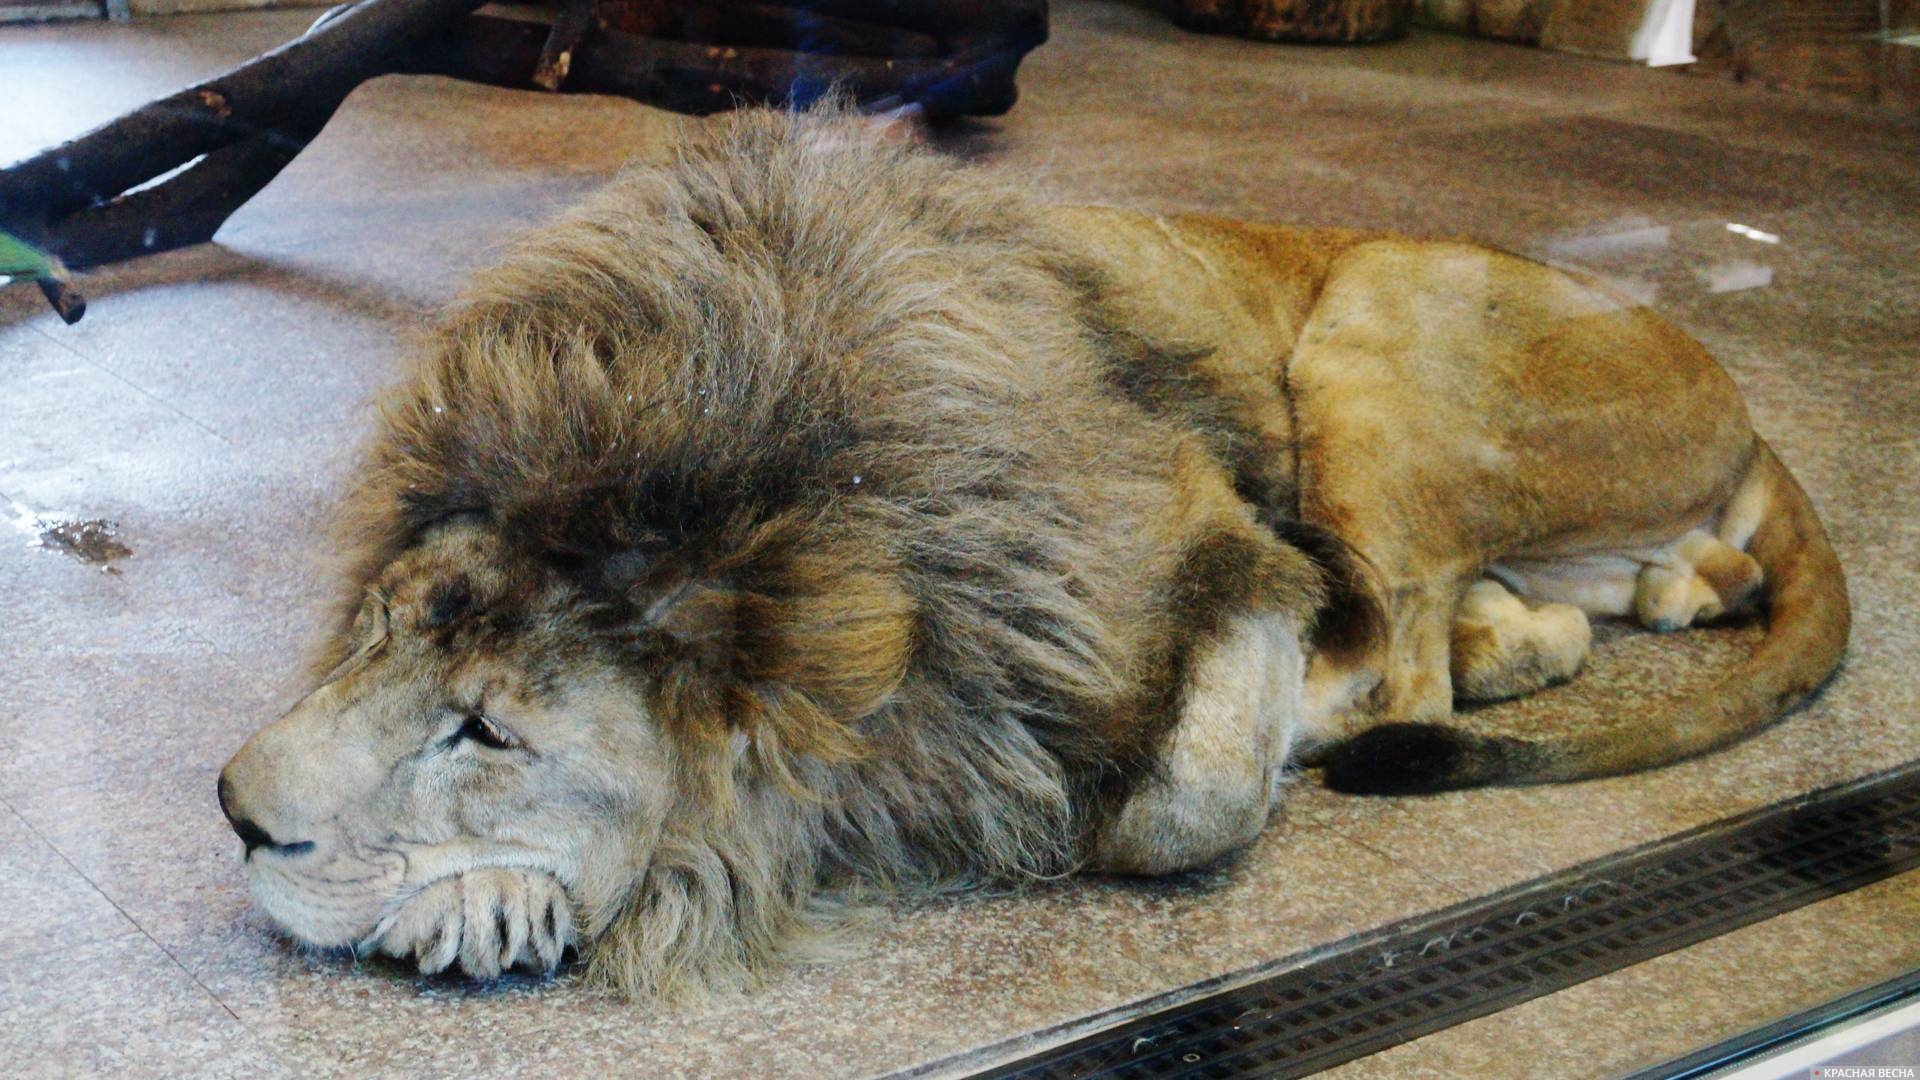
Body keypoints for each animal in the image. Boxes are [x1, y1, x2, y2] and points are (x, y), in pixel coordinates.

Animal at [217, 105, 1849, 997]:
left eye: (487, 732)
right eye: (377, 626)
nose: (233, 815)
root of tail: (1739, 398)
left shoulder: (1195, 535)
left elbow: (1181, 799)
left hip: (1378, 322)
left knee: (1408, 677)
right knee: (1533, 628)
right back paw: (1554, 624)